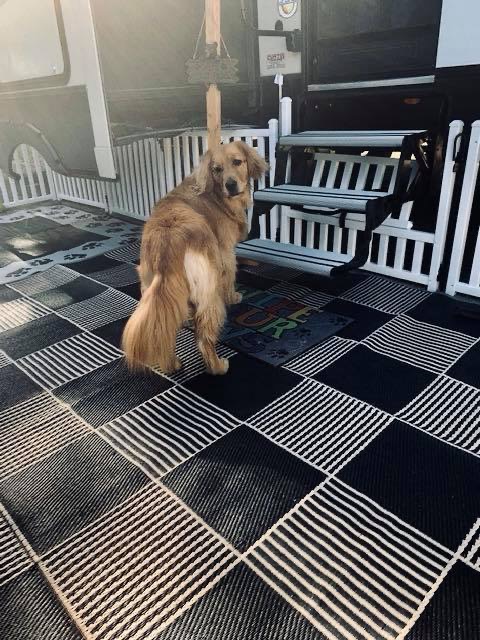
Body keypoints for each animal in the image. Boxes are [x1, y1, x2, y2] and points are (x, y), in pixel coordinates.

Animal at [121, 141, 268, 375]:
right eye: (217, 169)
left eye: (237, 162)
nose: (231, 185)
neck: (215, 194)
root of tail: (168, 240)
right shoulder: (226, 252)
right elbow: (231, 275)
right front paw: (233, 296)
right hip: (209, 288)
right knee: (204, 335)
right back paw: (217, 366)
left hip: (153, 287)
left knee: (163, 329)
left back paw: (171, 364)